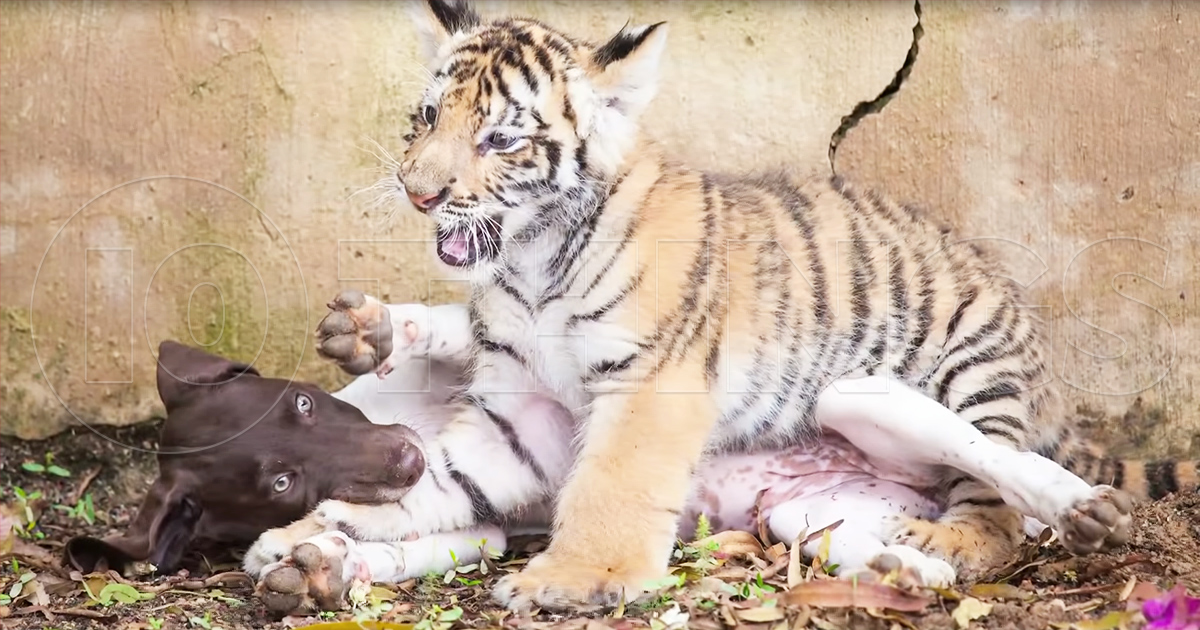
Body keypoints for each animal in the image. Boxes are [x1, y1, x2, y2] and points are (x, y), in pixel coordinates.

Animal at [361, 0, 1197, 612]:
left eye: (502, 140)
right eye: (429, 116)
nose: (417, 192)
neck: (530, 261)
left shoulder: (650, 381)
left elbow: (612, 483)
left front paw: (572, 579)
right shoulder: (520, 407)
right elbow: (440, 477)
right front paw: (350, 516)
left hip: (971, 372)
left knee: (1000, 498)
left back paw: (960, 542)